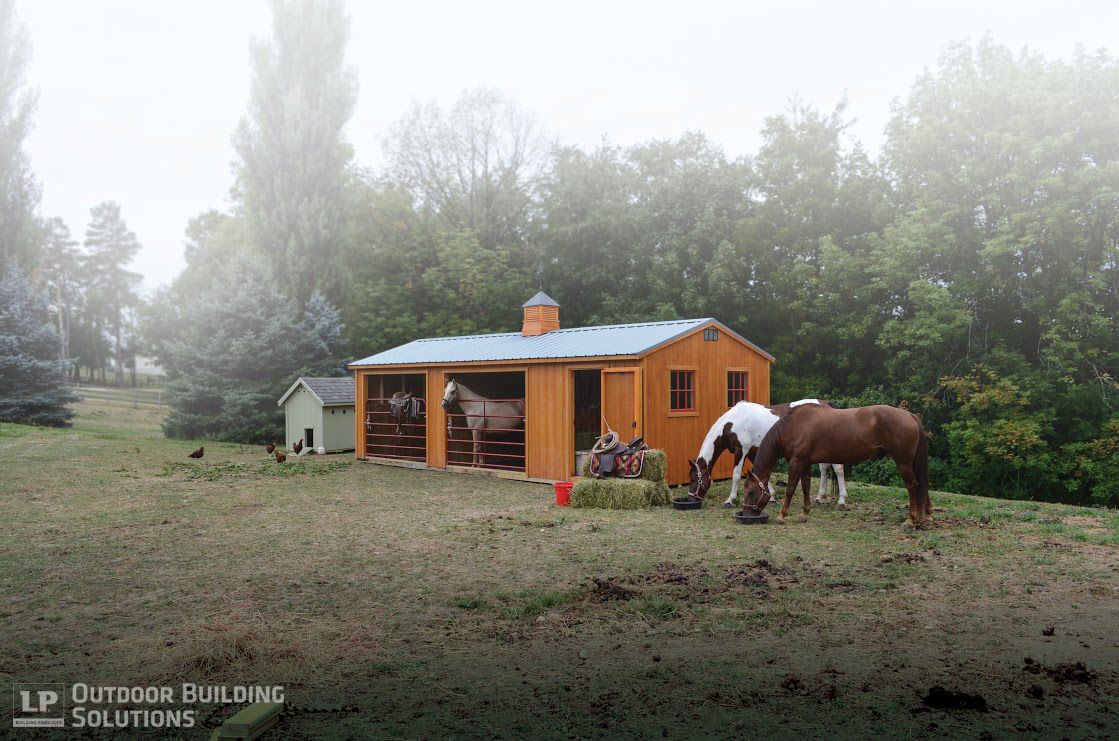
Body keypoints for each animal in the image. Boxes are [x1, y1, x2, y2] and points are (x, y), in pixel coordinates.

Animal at [680, 400, 845, 510]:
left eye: (693, 479)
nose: (690, 499)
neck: (733, 423)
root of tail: (827, 405)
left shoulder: (741, 450)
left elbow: (736, 475)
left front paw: (729, 500)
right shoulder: (753, 452)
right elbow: (761, 476)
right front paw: (771, 497)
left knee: (838, 469)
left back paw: (842, 501)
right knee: (824, 469)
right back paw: (819, 498)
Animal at [743, 402, 935, 530]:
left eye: (751, 492)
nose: (745, 514)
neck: (793, 425)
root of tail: (909, 416)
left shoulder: (796, 462)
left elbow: (791, 488)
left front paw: (782, 516)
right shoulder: (805, 463)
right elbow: (806, 487)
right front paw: (804, 513)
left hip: (903, 462)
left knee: (913, 486)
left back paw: (910, 520)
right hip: (911, 463)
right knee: (921, 484)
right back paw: (926, 515)